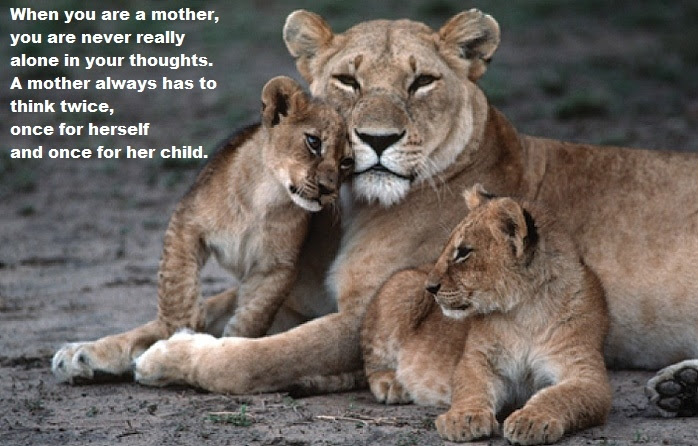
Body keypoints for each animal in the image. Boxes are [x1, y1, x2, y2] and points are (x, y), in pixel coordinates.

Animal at [52, 76, 353, 382]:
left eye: (346, 162)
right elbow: (177, 287)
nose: (328, 189)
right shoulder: (186, 223)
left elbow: (252, 315)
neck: (267, 198)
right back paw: (81, 356)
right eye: (313, 142)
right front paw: (180, 329)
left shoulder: (275, 267)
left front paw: (224, 342)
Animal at [362, 184, 612, 444]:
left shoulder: (586, 372)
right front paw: (463, 419)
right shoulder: (477, 358)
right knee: (371, 359)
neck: (525, 311)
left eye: (463, 252)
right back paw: (392, 383)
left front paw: (530, 420)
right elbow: (471, 387)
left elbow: (560, 396)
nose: (430, 287)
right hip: (402, 287)